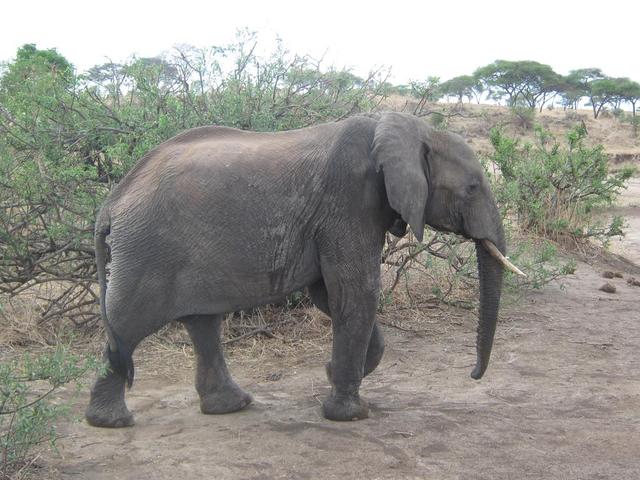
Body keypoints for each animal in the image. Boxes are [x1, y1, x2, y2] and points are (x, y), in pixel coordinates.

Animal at [84, 111, 520, 428]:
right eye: (472, 188)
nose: (473, 375)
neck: (412, 130)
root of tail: (111, 203)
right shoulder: (351, 200)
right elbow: (356, 292)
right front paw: (350, 414)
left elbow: (330, 295)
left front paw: (335, 373)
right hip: (147, 250)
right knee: (128, 325)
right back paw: (112, 422)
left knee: (202, 323)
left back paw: (231, 406)